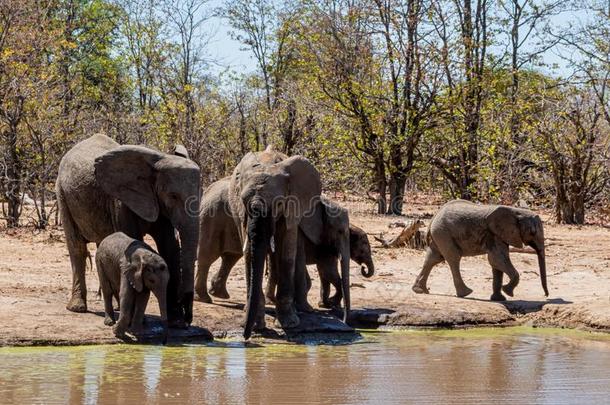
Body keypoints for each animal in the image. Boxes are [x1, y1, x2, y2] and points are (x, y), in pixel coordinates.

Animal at [55, 134, 200, 326]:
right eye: (173, 196)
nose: (188, 319)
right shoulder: (121, 201)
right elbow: (134, 239)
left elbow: (170, 248)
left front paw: (176, 322)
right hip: (62, 194)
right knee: (76, 247)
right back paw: (77, 308)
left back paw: (116, 306)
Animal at [227, 146, 344, 338]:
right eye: (243, 200)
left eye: (279, 203)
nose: (245, 336)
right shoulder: (242, 214)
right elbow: (249, 255)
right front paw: (256, 325)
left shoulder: (293, 205)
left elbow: (286, 253)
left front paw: (289, 324)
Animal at [414, 199, 548, 300]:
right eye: (532, 232)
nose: (546, 296)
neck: (516, 211)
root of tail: (434, 216)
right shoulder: (494, 234)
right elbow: (497, 259)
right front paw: (508, 292)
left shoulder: (499, 234)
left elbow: (496, 263)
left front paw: (499, 299)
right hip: (443, 233)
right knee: (453, 258)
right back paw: (466, 293)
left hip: (440, 234)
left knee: (433, 258)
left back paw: (420, 290)